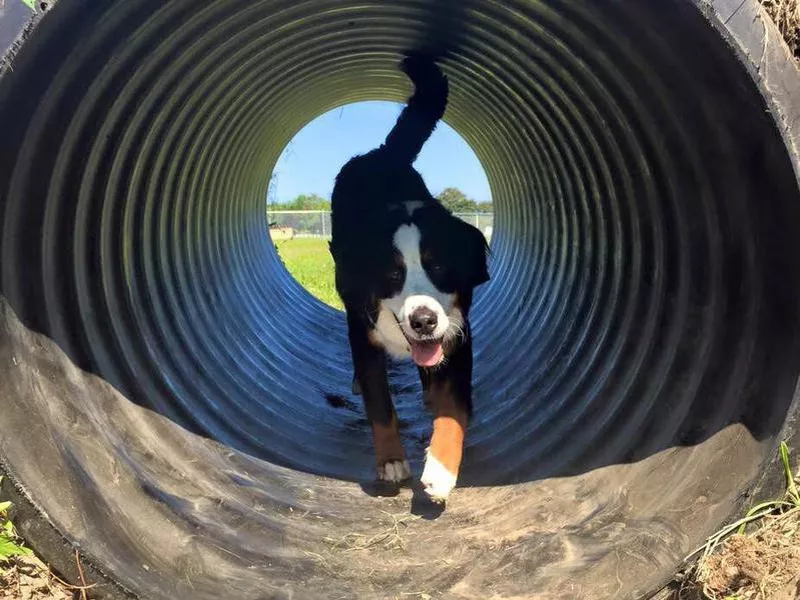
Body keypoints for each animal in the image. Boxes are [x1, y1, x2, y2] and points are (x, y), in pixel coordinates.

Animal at [328, 55, 490, 502]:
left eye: (439, 268)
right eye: (393, 274)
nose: (423, 321)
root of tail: (380, 154)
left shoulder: (457, 334)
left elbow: (453, 409)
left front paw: (440, 469)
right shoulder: (363, 334)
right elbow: (380, 405)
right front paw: (390, 461)